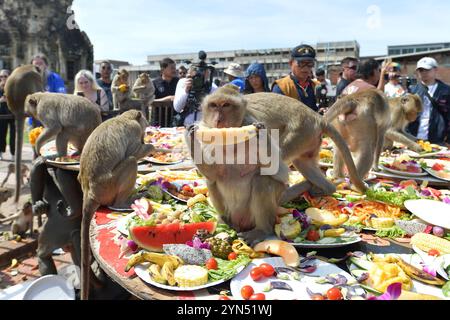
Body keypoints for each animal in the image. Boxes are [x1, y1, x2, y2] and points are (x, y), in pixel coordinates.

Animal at [79, 110, 158, 300]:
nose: (149, 126)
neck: (124, 118)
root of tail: (89, 191)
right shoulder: (134, 130)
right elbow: (136, 151)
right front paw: (153, 147)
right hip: (109, 187)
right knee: (131, 160)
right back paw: (124, 202)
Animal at [185, 85, 288, 245]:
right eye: (214, 105)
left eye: (226, 105)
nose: (218, 119)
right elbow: (213, 173)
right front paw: (191, 134)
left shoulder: (251, 120)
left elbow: (280, 173)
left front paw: (260, 133)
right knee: (211, 181)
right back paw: (224, 222)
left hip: (254, 216)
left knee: (262, 181)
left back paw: (261, 230)